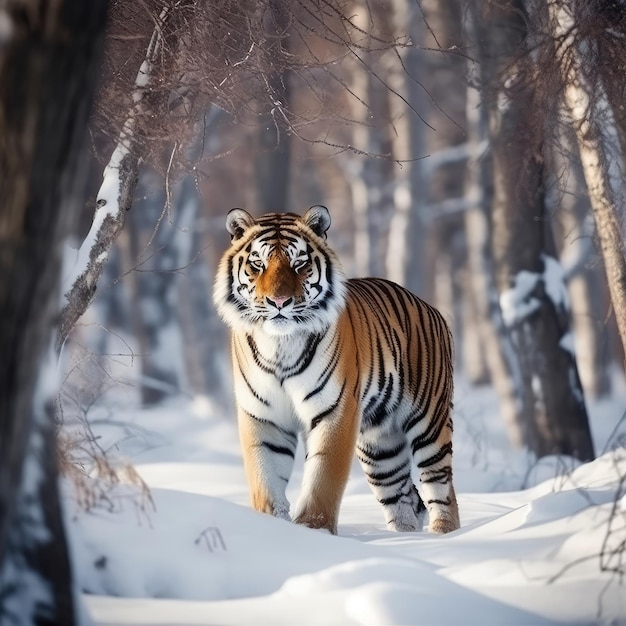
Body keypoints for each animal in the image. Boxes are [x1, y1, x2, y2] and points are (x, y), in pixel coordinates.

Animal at [213, 205, 458, 532]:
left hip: (429, 424)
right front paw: (272, 527)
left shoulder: (335, 410)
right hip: (379, 445)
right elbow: (265, 479)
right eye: (258, 264)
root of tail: (430, 307)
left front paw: (313, 530)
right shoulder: (263, 417)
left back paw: (444, 535)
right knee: (403, 498)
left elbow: (323, 477)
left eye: (299, 264)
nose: (279, 301)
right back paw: (405, 538)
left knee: (441, 489)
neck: (280, 345)